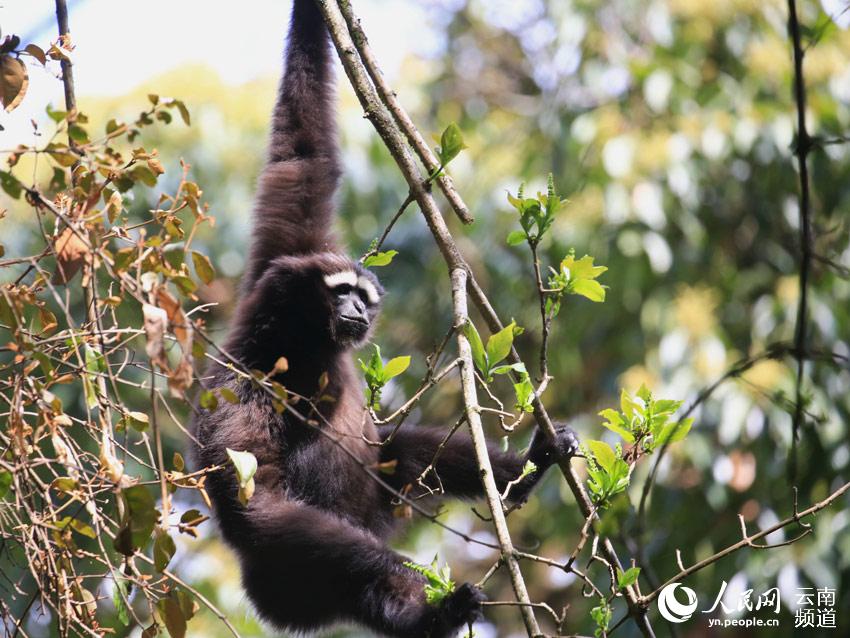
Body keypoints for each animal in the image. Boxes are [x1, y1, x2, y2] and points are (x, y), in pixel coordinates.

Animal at [190, 1, 579, 636]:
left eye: (360, 296)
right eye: (341, 294)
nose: (357, 308)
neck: (301, 351)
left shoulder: (278, 257)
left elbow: (301, 158)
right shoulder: (248, 386)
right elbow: (258, 501)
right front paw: (409, 580)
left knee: (403, 451)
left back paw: (527, 469)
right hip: (288, 585)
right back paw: (428, 612)